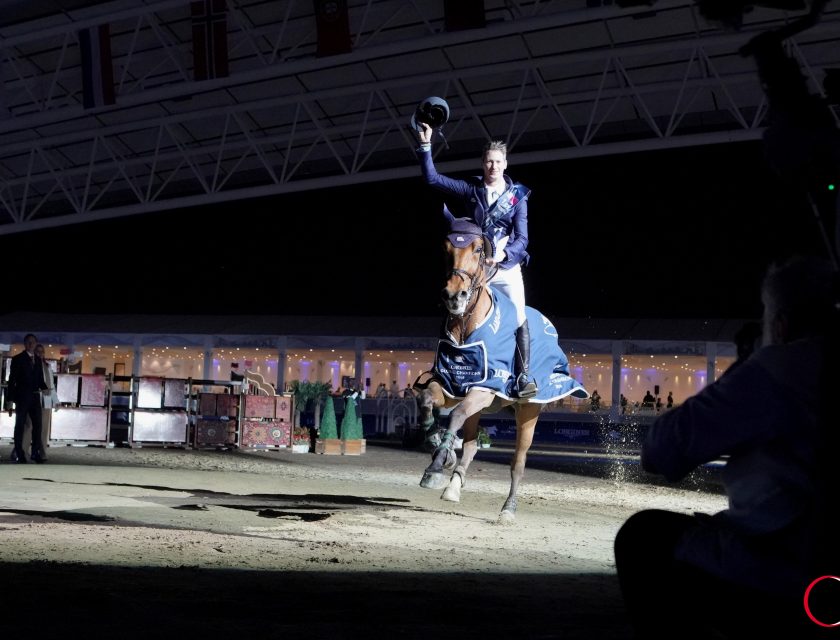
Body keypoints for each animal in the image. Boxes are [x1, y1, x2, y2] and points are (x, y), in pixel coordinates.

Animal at [412, 218, 584, 524]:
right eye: (445, 248)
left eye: (478, 249)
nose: (454, 296)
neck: (465, 325)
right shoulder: (451, 385)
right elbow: (427, 400)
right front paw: (437, 446)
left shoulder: (485, 388)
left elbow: (454, 415)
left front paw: (436, 465)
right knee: (471, 445)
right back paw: (453, 487)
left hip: (528, 412)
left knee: (518, 462)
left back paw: (508, 509)